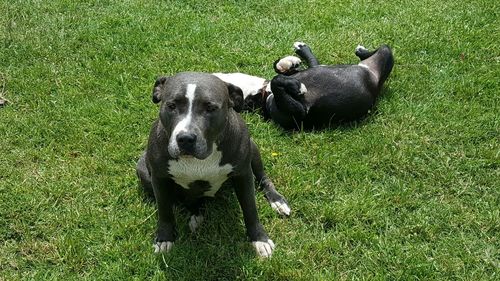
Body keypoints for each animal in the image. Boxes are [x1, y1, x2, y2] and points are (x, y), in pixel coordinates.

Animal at [135, 71, 292, 256]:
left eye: (210, 108)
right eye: (171, 105)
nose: (185, 138)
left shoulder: (243, 175)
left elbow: (250, 208)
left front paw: (260, 239)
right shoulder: (159, 179)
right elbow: (164, 210)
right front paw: (165, 238)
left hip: (253, 148)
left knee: (263, 178)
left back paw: (277, 200)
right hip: (142, 170)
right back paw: (196, 214)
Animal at [215, 41, 394, 129]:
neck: (261, 92)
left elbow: (278, 71)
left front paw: (288, 62)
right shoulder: (299, 112)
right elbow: (276, 80)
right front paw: (296, 86)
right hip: (385, 54)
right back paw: (361, 51)